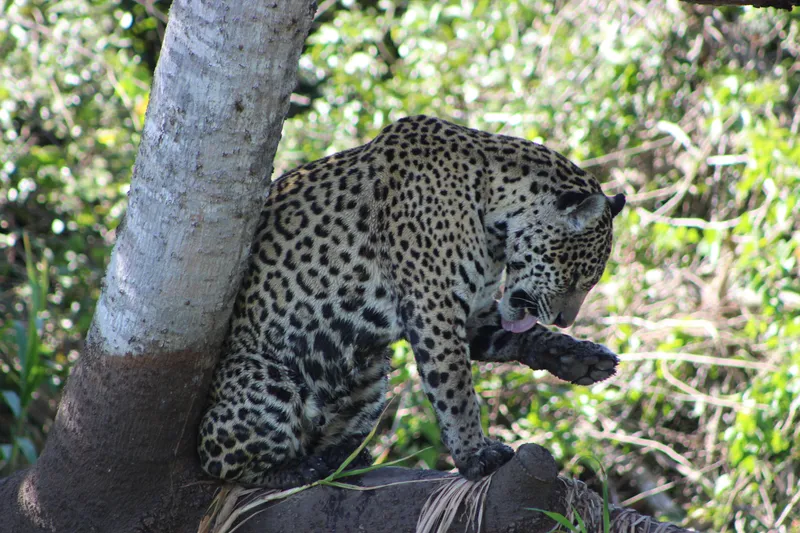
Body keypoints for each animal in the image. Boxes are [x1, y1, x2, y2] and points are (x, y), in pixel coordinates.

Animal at [198, 115, 626, 489]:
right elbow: (456, 391)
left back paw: (343, 457)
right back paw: (301, 470)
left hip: (371, 378)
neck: (493, 210)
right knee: (219, 462)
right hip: (269, 380)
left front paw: (581, 359)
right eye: (575, 277)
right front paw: (475, 455)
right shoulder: (434, 308)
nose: (565, 319)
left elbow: (525, 337)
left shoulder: (473, 314)